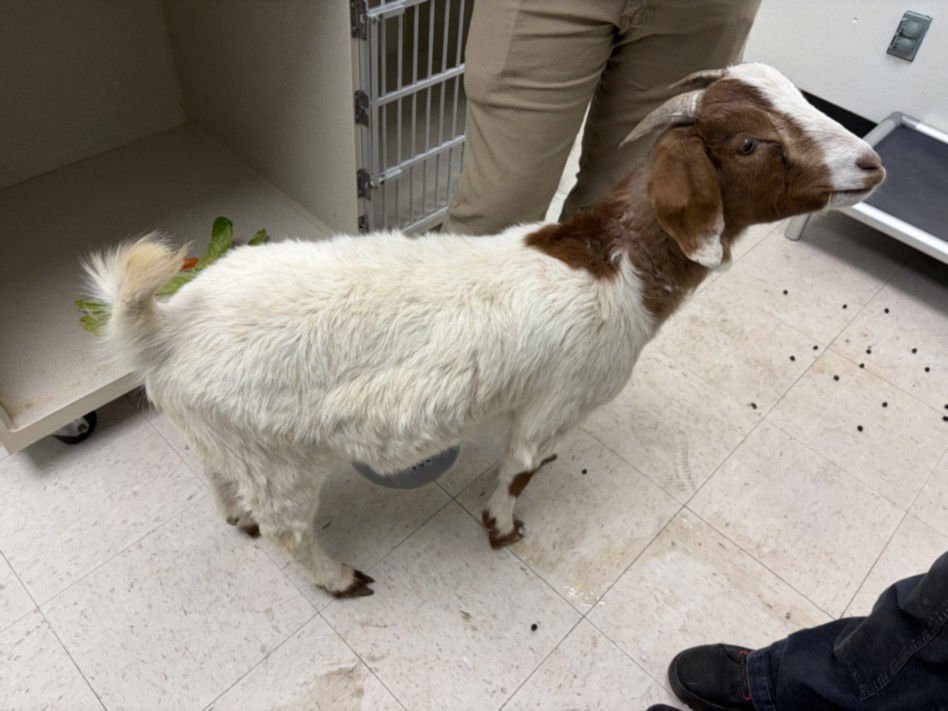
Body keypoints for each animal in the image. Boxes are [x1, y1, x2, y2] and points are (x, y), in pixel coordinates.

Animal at [84, 64, 884, 597]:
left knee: (218, 477)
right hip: (280, 459)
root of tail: (164, 327)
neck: (615, 265)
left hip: (220, 437)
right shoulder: (553, 403)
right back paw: (340, 578)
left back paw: (238, 520)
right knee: (287, 528)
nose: (871, 161)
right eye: (749, 144)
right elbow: (519, 468)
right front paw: (503, 530)